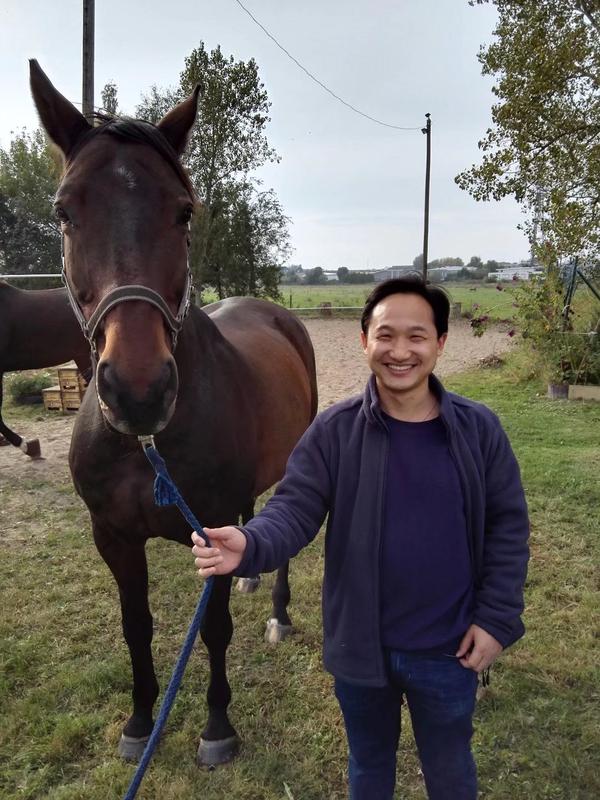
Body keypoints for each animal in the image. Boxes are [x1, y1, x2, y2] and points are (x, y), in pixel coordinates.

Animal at [29, 61, 318, 764]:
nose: (139, 390)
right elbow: (135, 625)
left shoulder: (205, 527)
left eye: (183, 211)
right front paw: (139, 723)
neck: (145, 447)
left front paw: (217, 727)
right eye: (64, 211)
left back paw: (277, 609)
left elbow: (212, 629)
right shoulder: (113, 536)